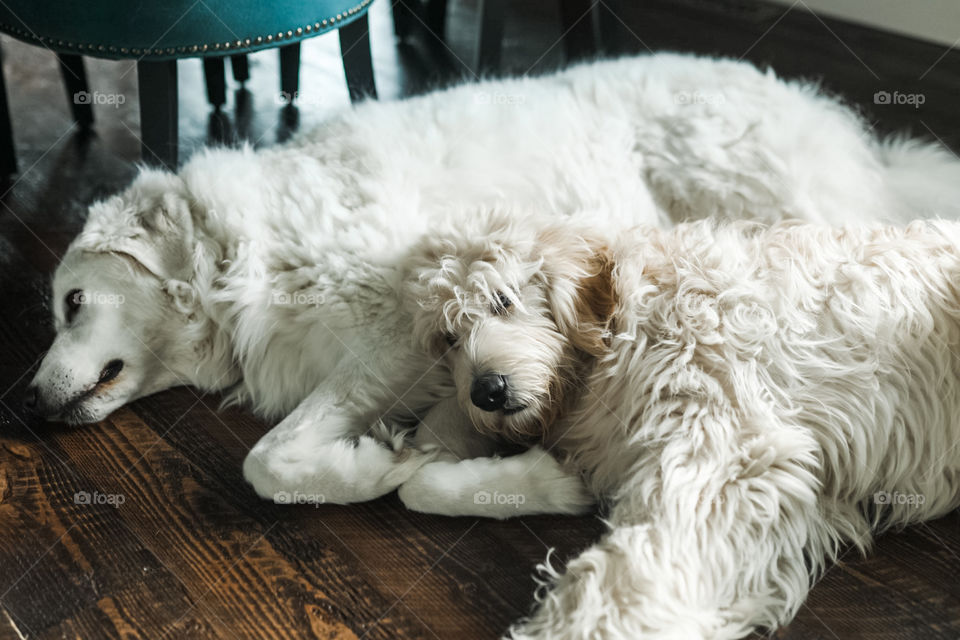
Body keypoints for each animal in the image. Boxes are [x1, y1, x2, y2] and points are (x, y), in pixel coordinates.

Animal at [24, 53, 960, 504]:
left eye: (71, 303)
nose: (26, 405)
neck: (241, 253)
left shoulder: (392, 329)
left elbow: (270, 460)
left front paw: (370, 469)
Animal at [396, 214, 960, 640]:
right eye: (448, 338)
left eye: (503, 300)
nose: (485, 391)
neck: (624, 323)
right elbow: (417, 485)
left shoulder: (726, 450)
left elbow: (636, 566)